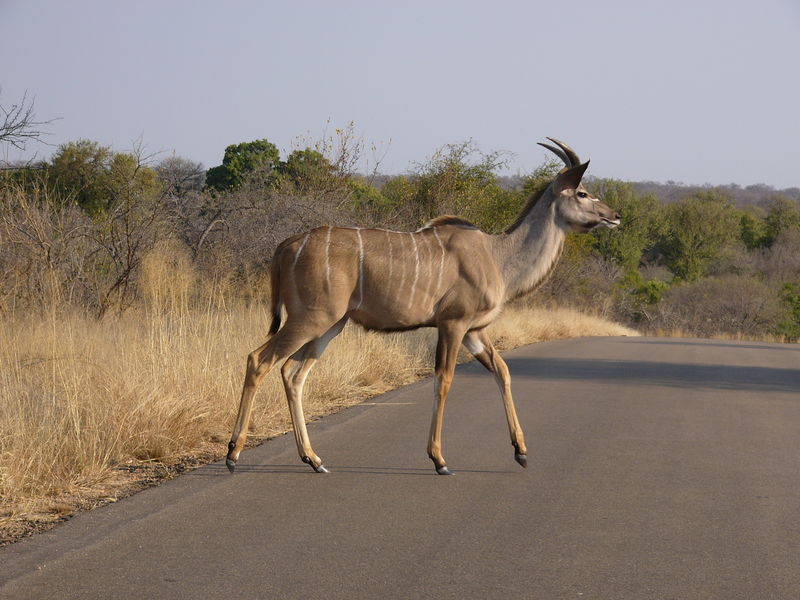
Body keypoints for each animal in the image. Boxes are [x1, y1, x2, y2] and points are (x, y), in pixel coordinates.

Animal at [228, 138, 620, 476]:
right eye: (582, 192)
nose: (614, 215)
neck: (497, 256)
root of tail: (286, 246)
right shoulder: (453, 324)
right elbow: (443, 380)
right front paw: (439, 459)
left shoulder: (475, 331)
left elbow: (503, 371)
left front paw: (521, 451)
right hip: (311, 318)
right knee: (259, 360)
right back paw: (233, 453)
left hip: (330, 325)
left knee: (293, 373)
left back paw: (313, 459)